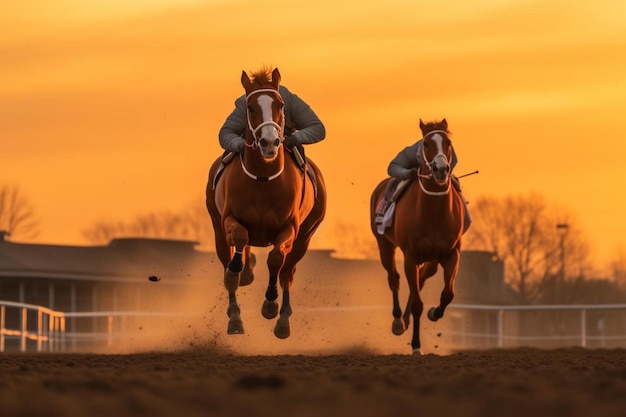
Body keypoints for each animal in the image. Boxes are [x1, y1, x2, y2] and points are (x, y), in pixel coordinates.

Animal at [206, 66, 326, 338]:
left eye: (280, 105)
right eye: (250, 107)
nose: (269, 142)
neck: (263, 180)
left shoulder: (290, 228)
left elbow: (275, 260)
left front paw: (271, 304)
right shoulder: (228, 219)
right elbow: (239, 241)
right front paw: (238, 270)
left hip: (306, 235)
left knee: (287, 273)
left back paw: (283, 320)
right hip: (217, 226)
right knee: (229, 257)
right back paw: (235, 314)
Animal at [368, 118, 466, 354]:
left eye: (448, 143)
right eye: (427, 144)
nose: (441, 170)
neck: (434, 212)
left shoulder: (451, 254)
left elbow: (447, 294)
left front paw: (435, 312)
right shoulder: (411, 256)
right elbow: (417, 303)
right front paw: (416, 346)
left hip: (431, 260)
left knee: (420, 281)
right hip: (384, 245)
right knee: (394, 278)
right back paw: (398, 321)